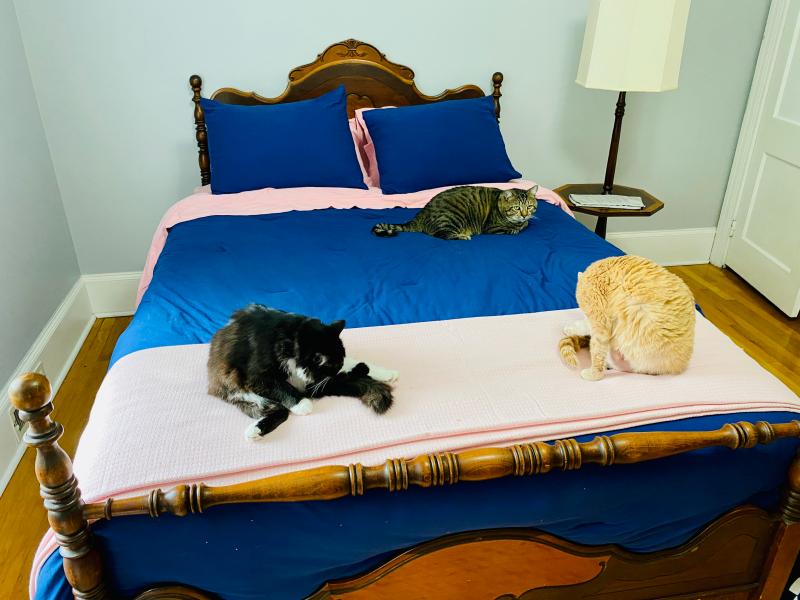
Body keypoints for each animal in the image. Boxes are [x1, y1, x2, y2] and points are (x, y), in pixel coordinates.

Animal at [207, 304, 397, 439]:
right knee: (281, 410)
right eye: (333, 366)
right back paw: (254, 431)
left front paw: (387, 373)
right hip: (244, 390)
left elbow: (353, 365)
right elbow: (281, 387)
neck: (293, 339)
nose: (337, 371)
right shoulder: (257, 376)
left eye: (339, 362)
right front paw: (302, 404)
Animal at [372, 185, 538, 240]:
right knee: (442, 235)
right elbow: (514, 229)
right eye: (516, 208)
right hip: (452, 217)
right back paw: (462, 236)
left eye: (529, 206)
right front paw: (518, 227)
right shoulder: (492, 227)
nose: (525, 214)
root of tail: (420, 214)